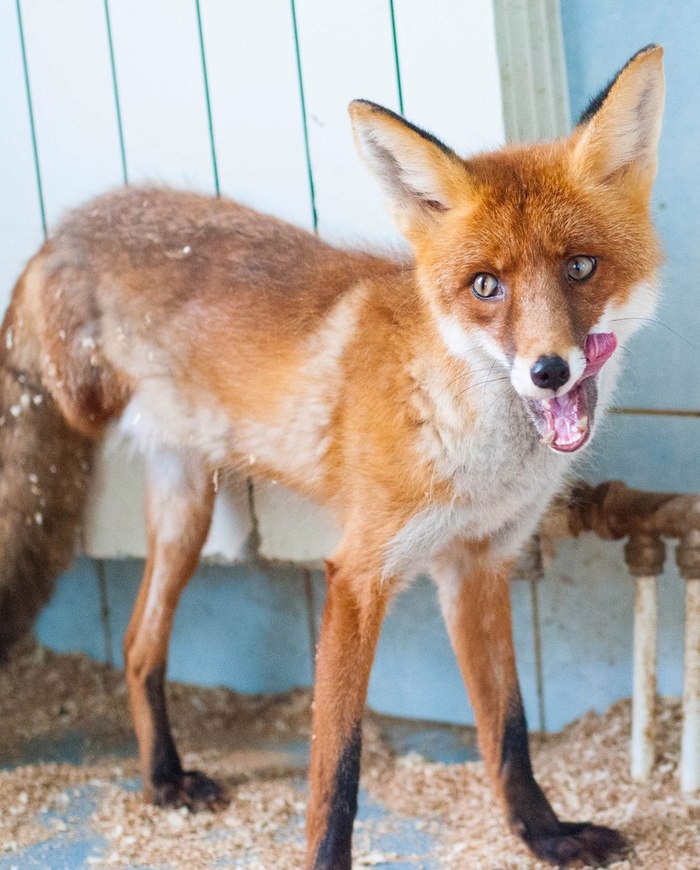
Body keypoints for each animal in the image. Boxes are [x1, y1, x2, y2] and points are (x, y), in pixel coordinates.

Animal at [0, 46, 664, 870]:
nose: (549, 371)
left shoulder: (478, 566)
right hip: (80, 408)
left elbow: (507, 730)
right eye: (486, 285)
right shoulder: (356, 576)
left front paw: (544, 834)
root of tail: (62, 229)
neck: (474, 457)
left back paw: (162, 779)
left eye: (580, 267)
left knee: (136, 644)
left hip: (186, 510)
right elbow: (336, 772)